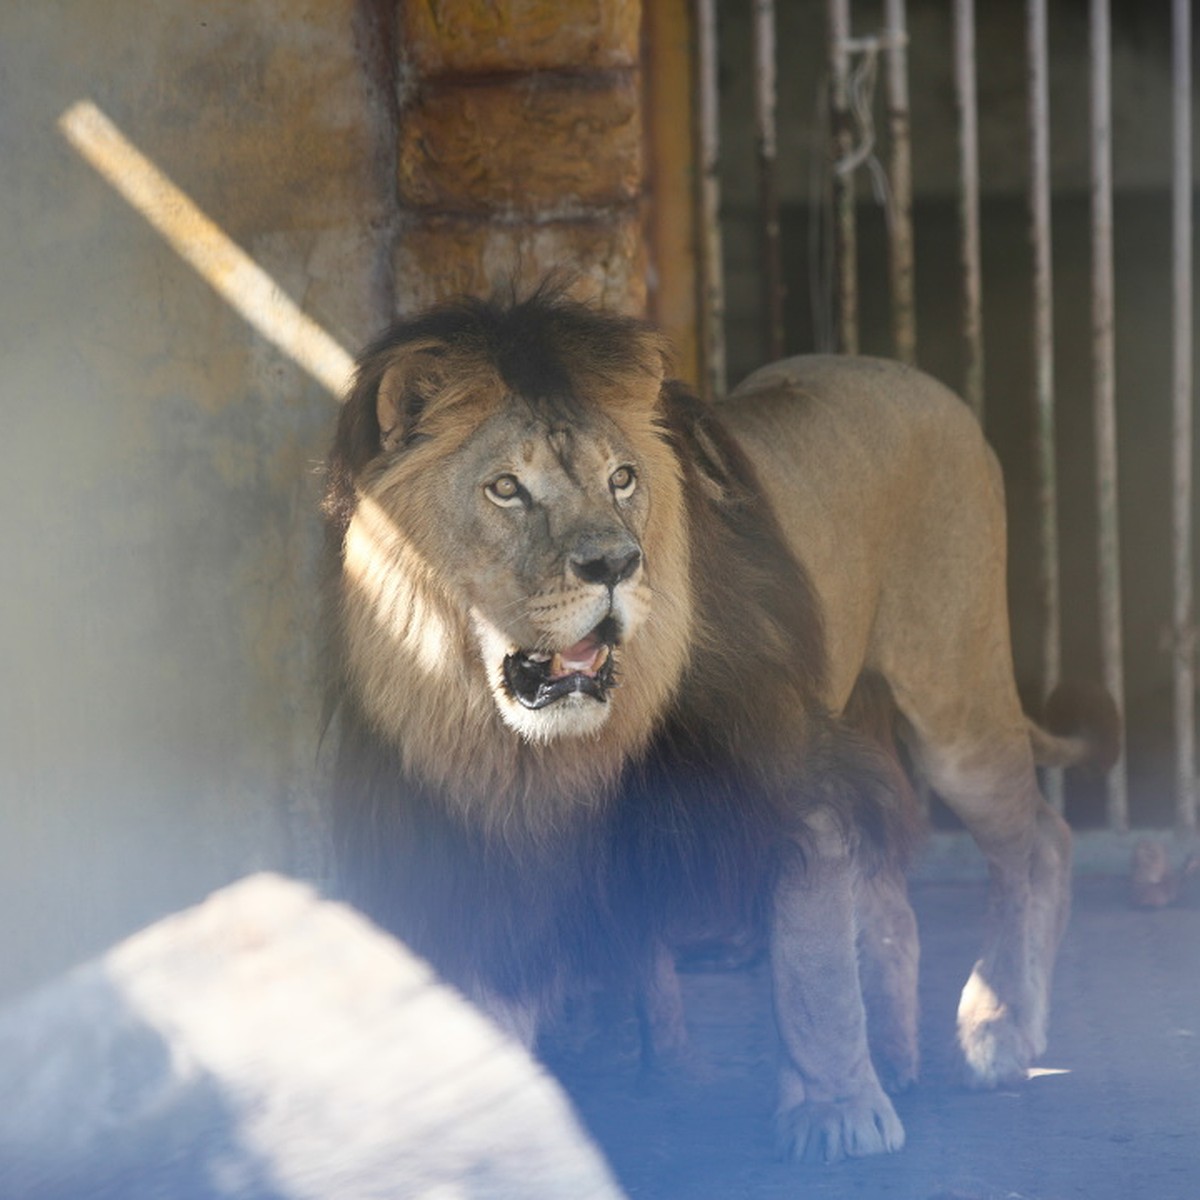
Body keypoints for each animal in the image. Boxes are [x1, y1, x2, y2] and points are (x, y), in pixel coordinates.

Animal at [321, 288, 1113, 1161]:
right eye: (505, 489)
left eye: (622, 479)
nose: (615, 565)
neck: (540, 749)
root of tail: (906, 374)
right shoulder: (477, 836)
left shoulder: (789, 767)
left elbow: (810, 968)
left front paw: (837, 1114)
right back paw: (899, 1052)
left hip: (953, 693)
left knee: (1038, 840)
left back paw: (997, 1031)